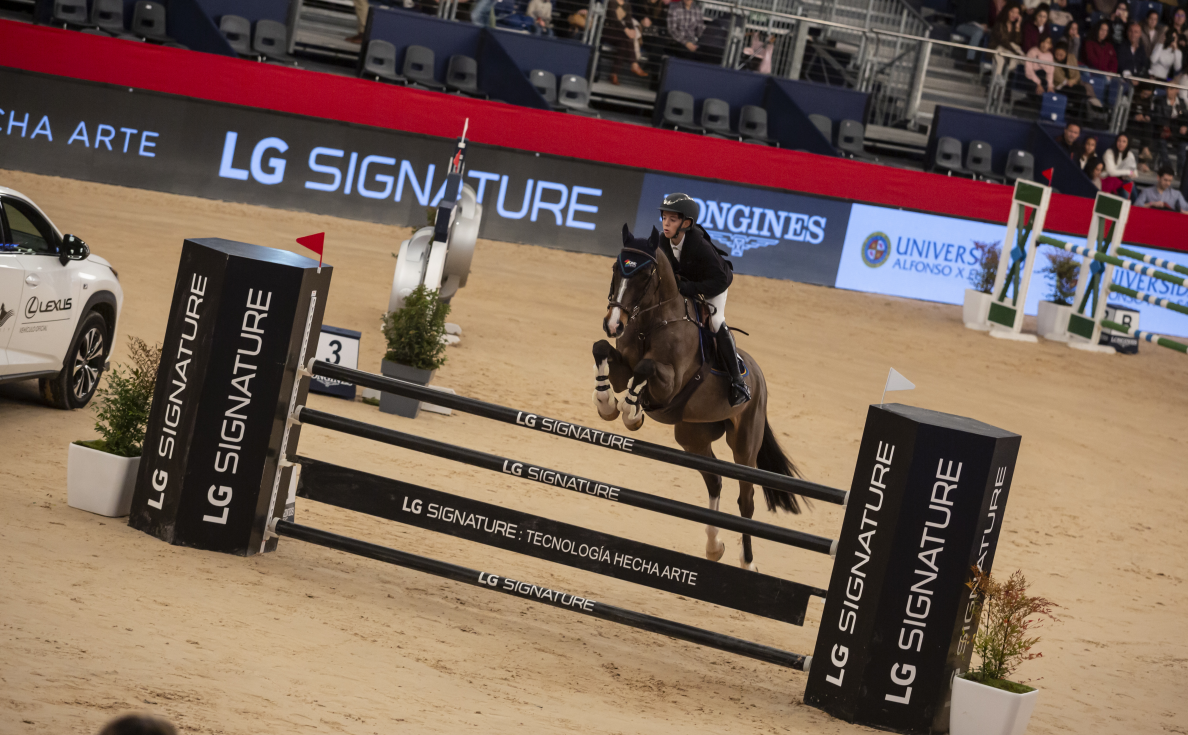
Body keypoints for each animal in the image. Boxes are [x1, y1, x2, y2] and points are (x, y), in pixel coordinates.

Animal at [589, 226, 803, 572]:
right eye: (615, 268)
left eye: (644, 275)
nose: (613, 324)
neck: (651, 322)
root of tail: (757, 375)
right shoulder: (621, 367)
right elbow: (601, 351)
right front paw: (607, 405)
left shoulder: (670, 384)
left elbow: (646, 370)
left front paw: (632, 413)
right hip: (692, 436)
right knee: (714, 481)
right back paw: (714, 548)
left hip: (744, 444)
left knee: (746, 500)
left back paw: (748, 562)